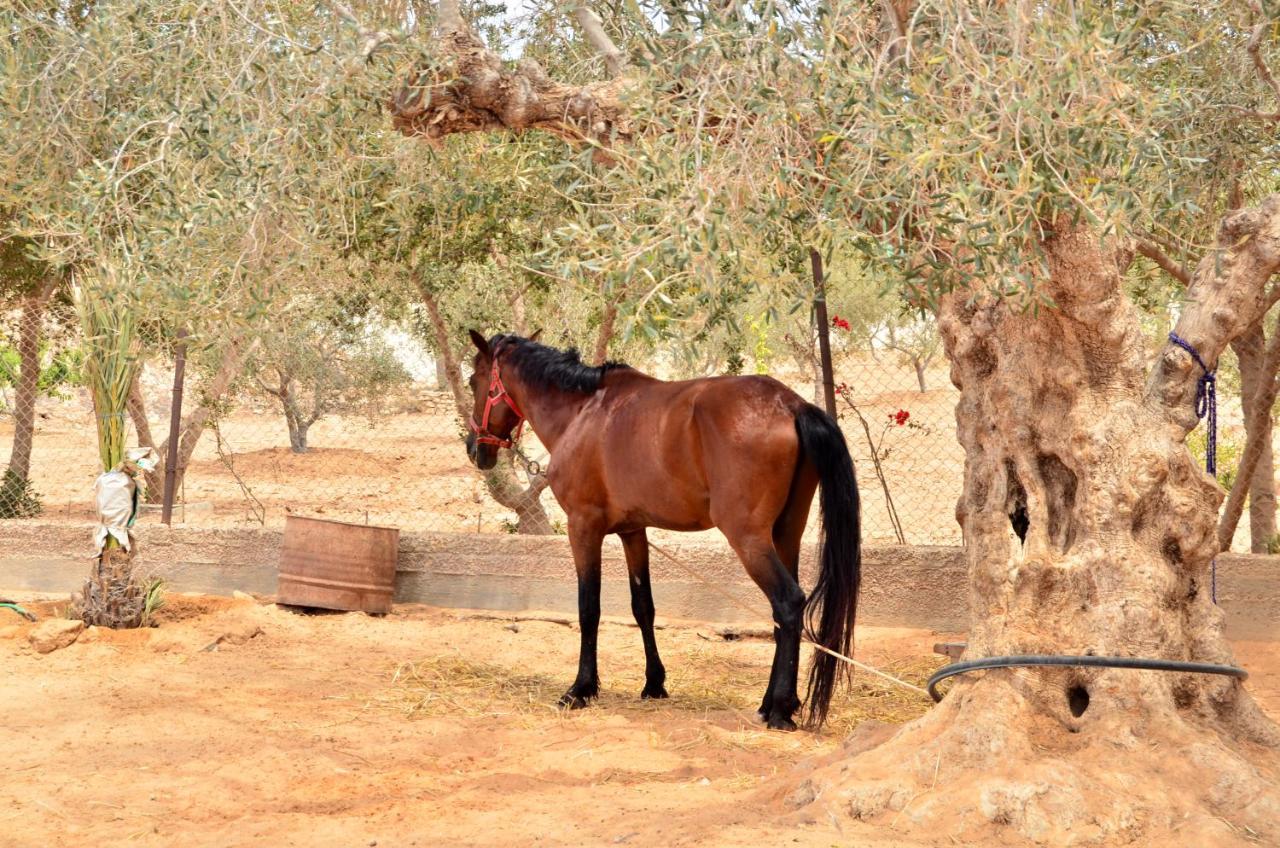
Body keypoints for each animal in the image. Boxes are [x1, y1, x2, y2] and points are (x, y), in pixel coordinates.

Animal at [463, 333, 860, 732]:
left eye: (472, 381)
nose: (474, 448)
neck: (582, 412)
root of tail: (791, 404)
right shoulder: (633, 532)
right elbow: (643, 607)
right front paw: (654, 683)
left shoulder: (583, 527)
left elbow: (589, 609)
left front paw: (581, 689)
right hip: (785, 534)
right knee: (784, 614)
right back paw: (775, 703)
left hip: (749, 539)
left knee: (788, 602)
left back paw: (778, 710)